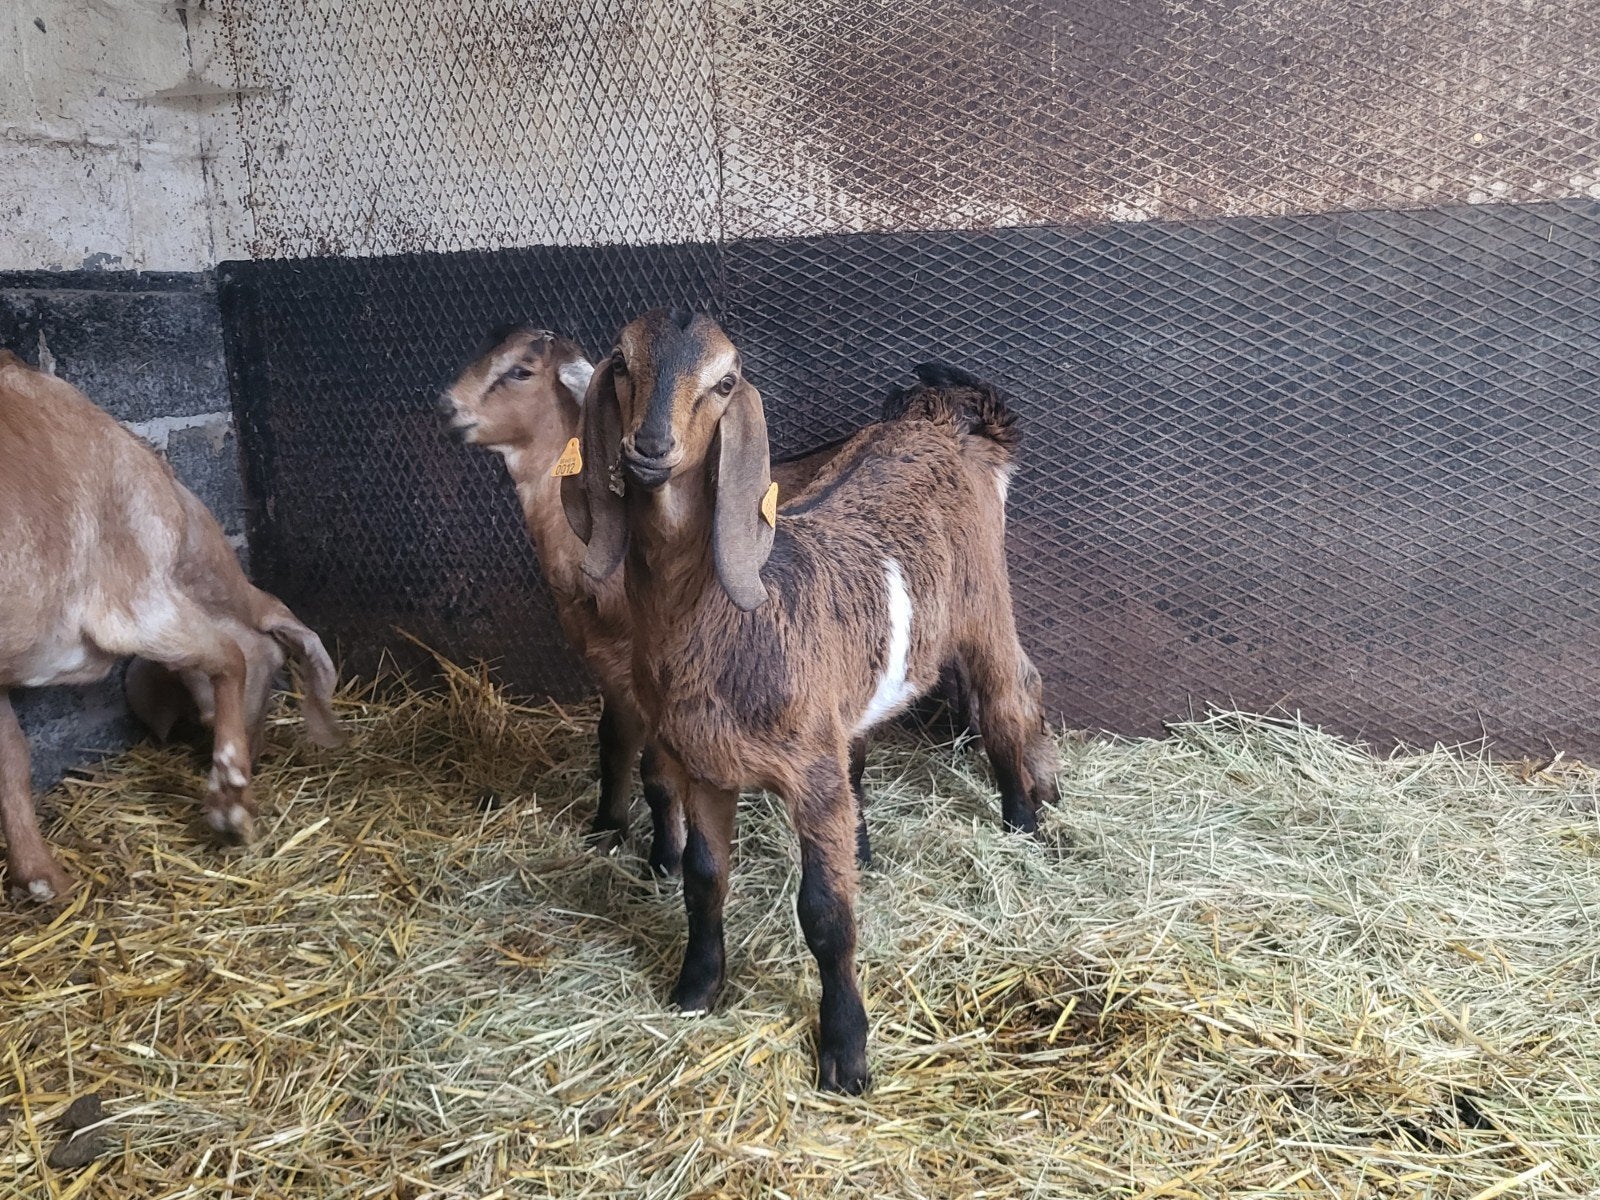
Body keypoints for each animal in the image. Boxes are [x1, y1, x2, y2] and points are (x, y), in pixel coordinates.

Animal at [0, 351, 343, 903]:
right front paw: (231, 800)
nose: (259, 756)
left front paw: (42, 876)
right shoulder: (137, 606)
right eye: (275, 674)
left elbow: (12, 755)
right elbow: (231, 654)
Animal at [565, 310, 1059, 1093]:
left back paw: (1021, 824)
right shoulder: (705, 766)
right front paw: (696, 988)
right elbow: (704, 879)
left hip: (984, 599)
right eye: (622, 362)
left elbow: (826, 915)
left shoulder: (809, 776)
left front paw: (845, 1054)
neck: (738, 615)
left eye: (726, 380)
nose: (649, 448)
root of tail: (944, 421)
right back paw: (872, 848)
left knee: (1008, 700)